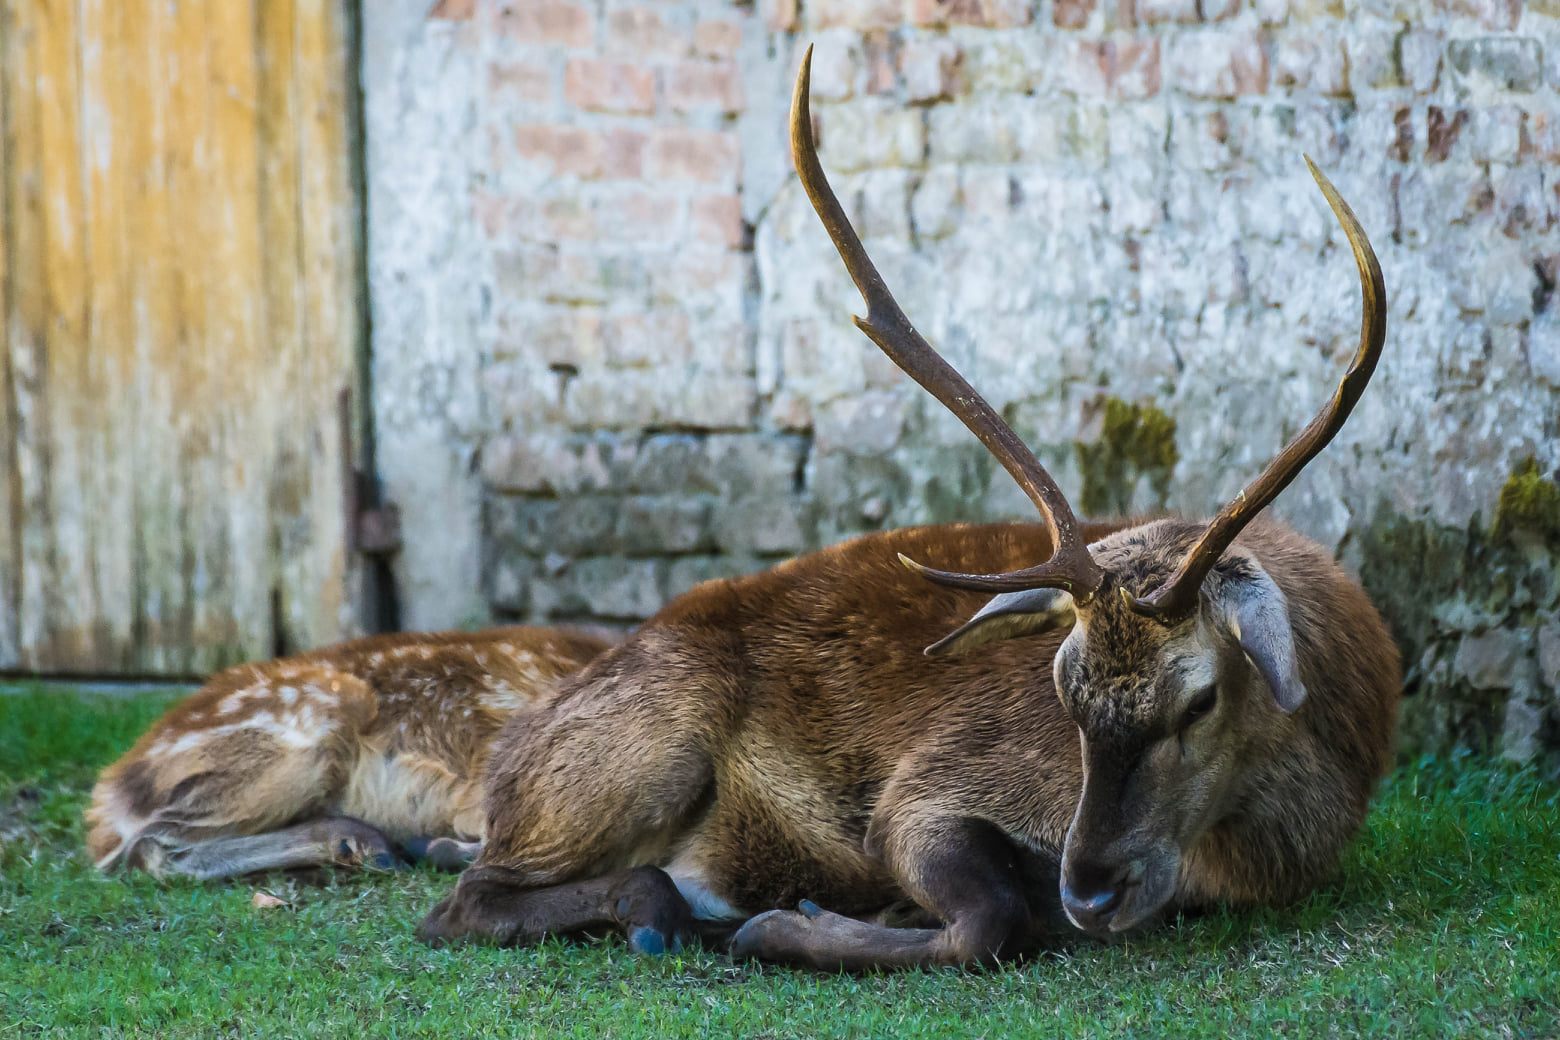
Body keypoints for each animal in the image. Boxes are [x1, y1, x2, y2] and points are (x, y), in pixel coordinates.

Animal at [420, 46, 1399, 970]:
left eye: (1199, 701)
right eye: (1065, 693)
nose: (1089, 892)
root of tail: (508, 756)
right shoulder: (927, 784)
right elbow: (988, 919)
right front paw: (789, 924)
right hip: (643, 736)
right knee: (463, 903)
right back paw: (669, 912)